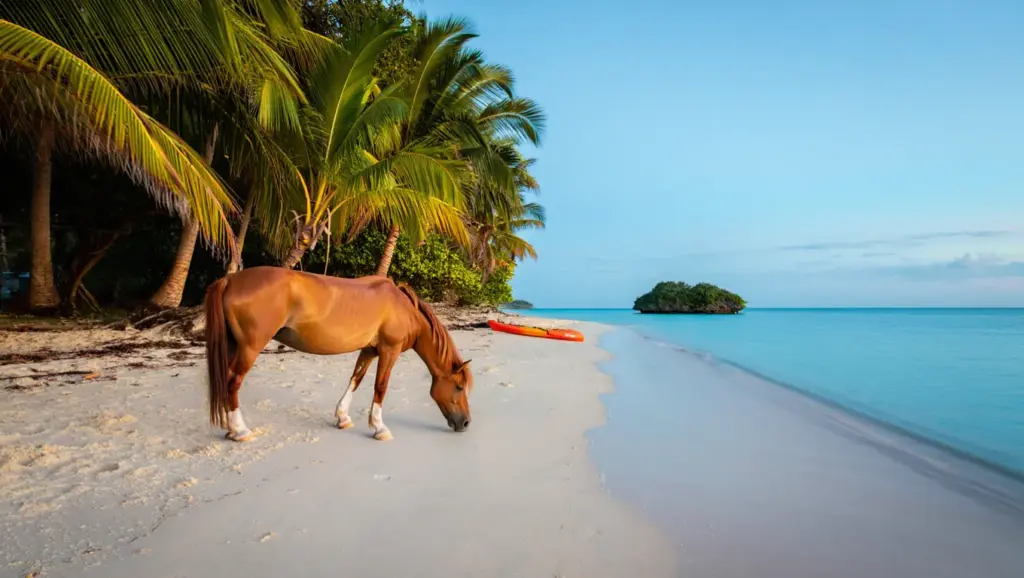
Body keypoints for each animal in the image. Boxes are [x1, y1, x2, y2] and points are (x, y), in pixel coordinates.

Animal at [203, 266, 473, 442]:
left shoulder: (369, 350)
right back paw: (240, 430)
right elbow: (380, 386)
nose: (465, 423)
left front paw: (342, 417)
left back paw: (230, 428)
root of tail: (230, 279)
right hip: (250, 348)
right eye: (459, 387)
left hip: (233, 346)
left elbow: (356, 379)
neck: (404, 308)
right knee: (233, 382)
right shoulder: (389, 350)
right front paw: (379, 427)